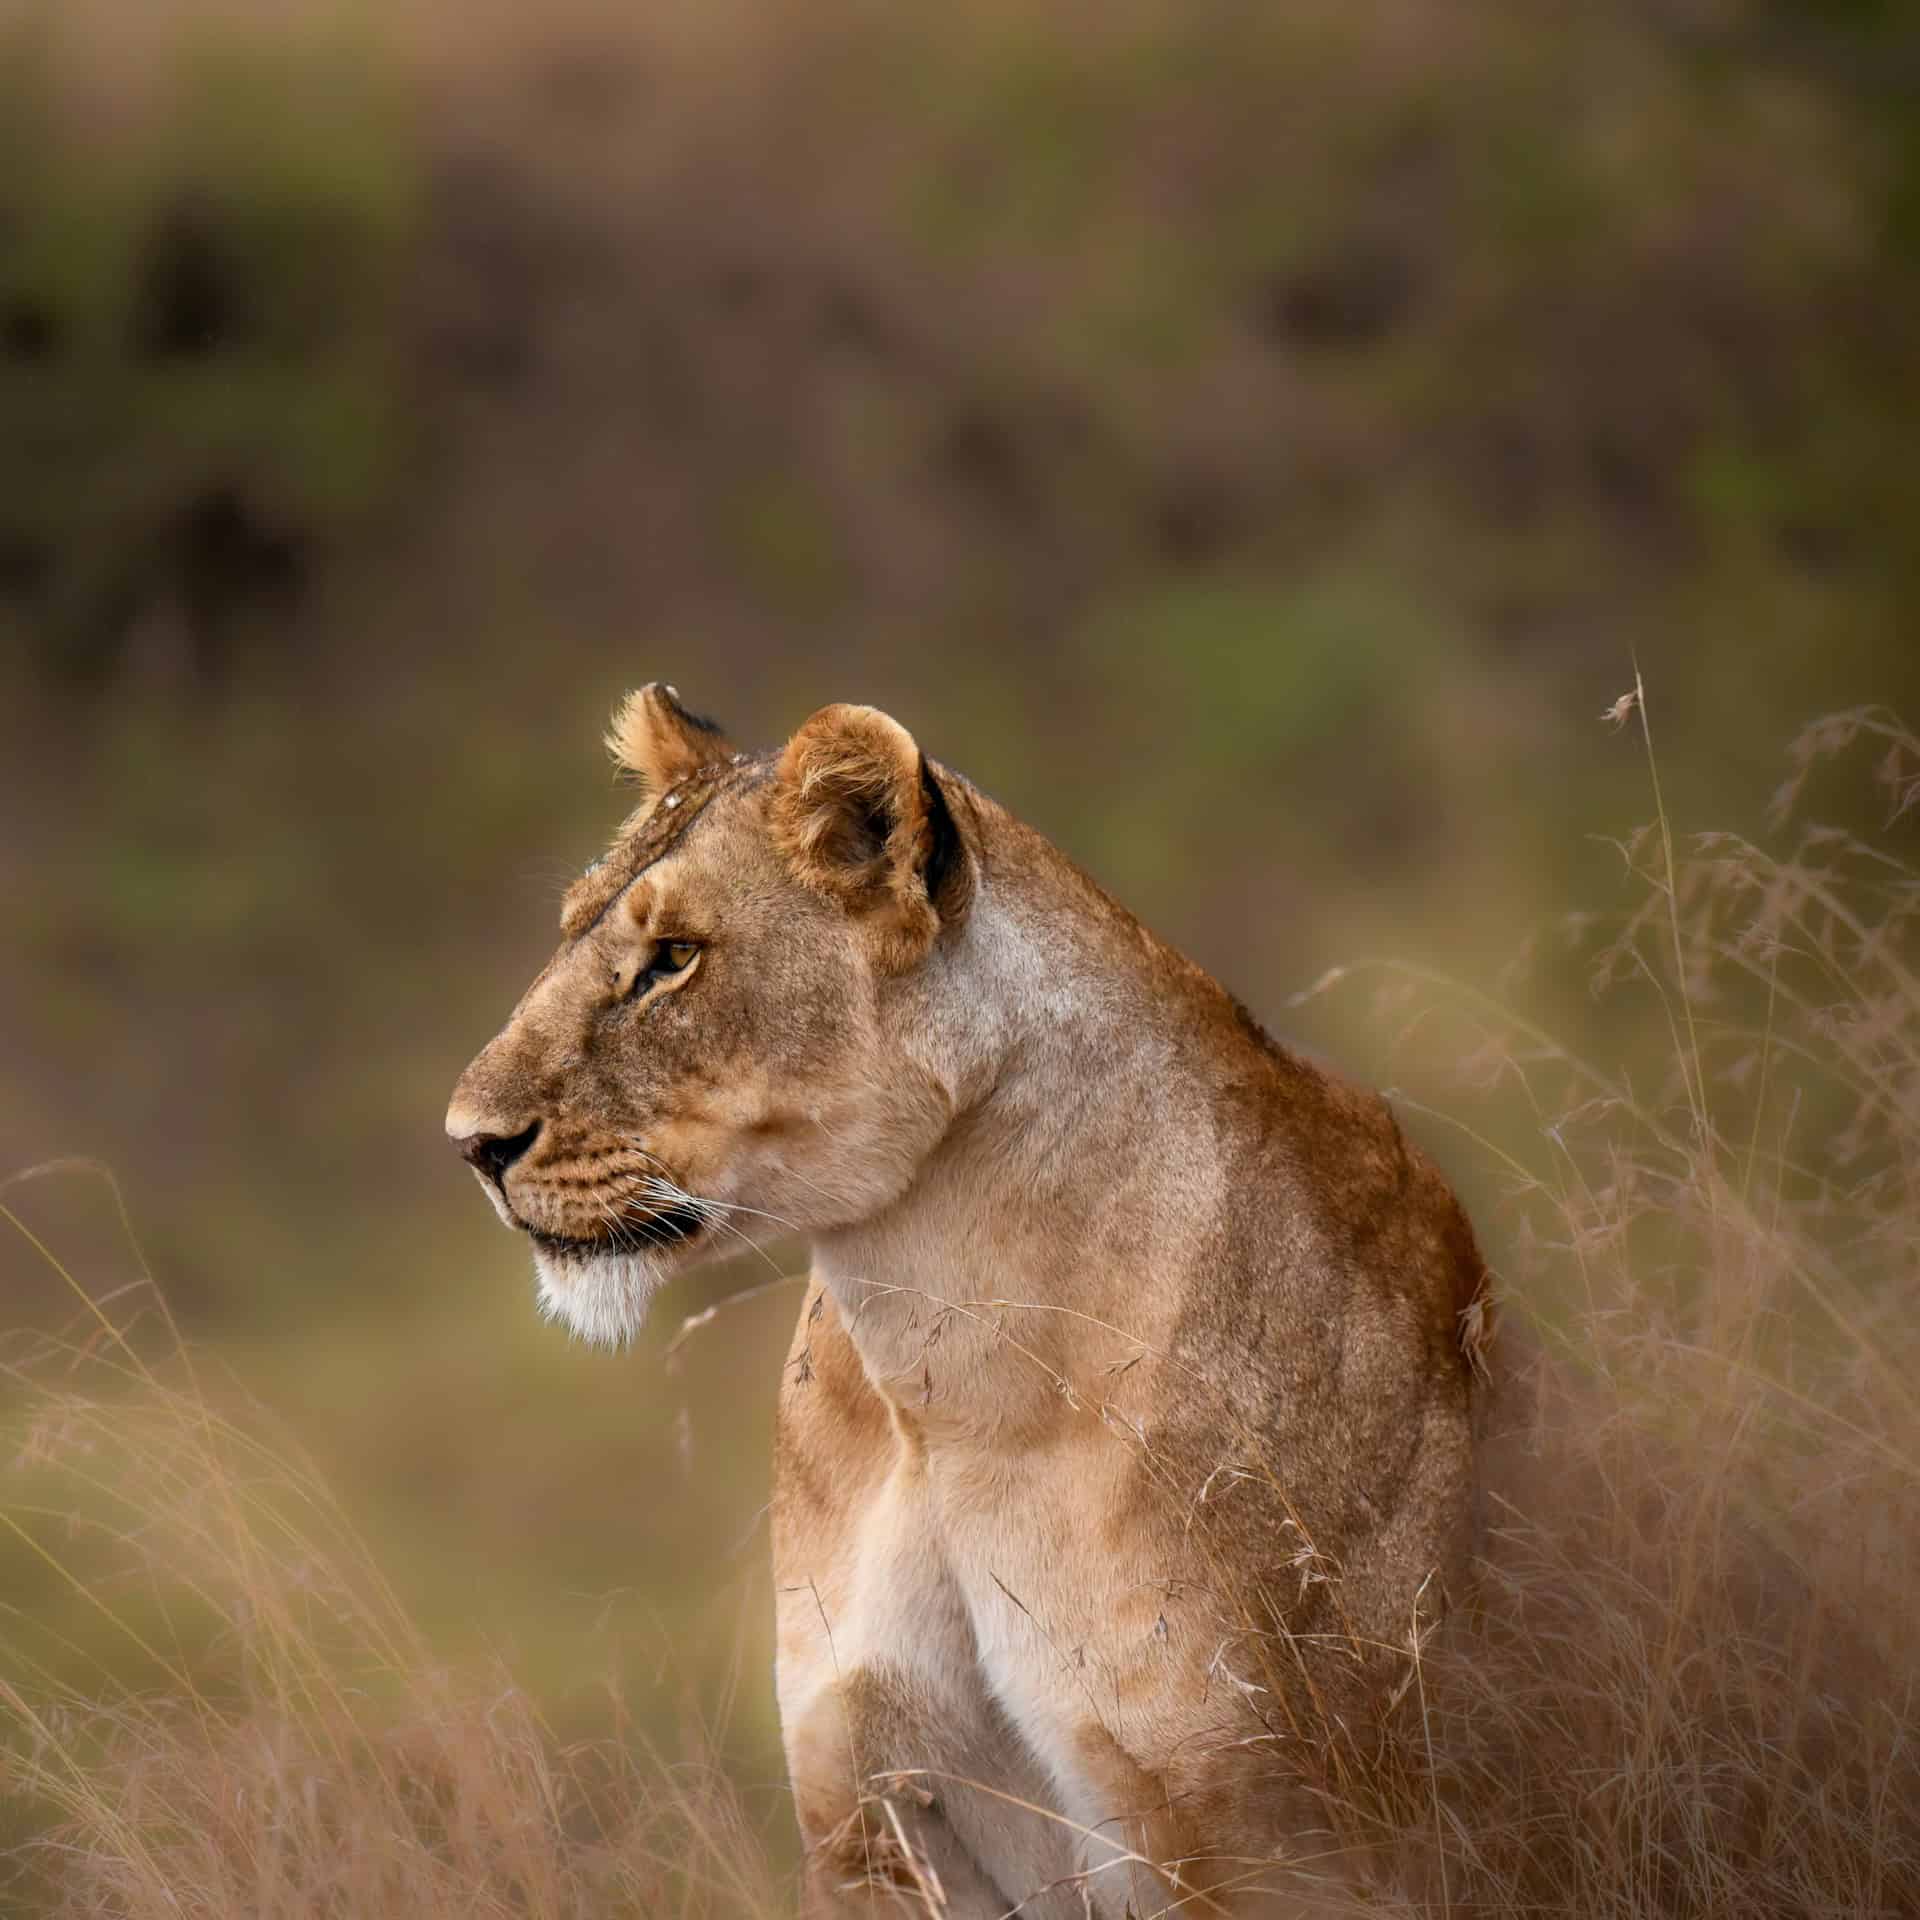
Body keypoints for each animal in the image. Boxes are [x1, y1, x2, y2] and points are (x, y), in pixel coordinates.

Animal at [447, 685, 1493, 1916]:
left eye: (673, 960)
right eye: (573, 932)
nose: (470, 1143)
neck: (938, 1372)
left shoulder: (1250, 1832)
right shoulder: (868, 1820)